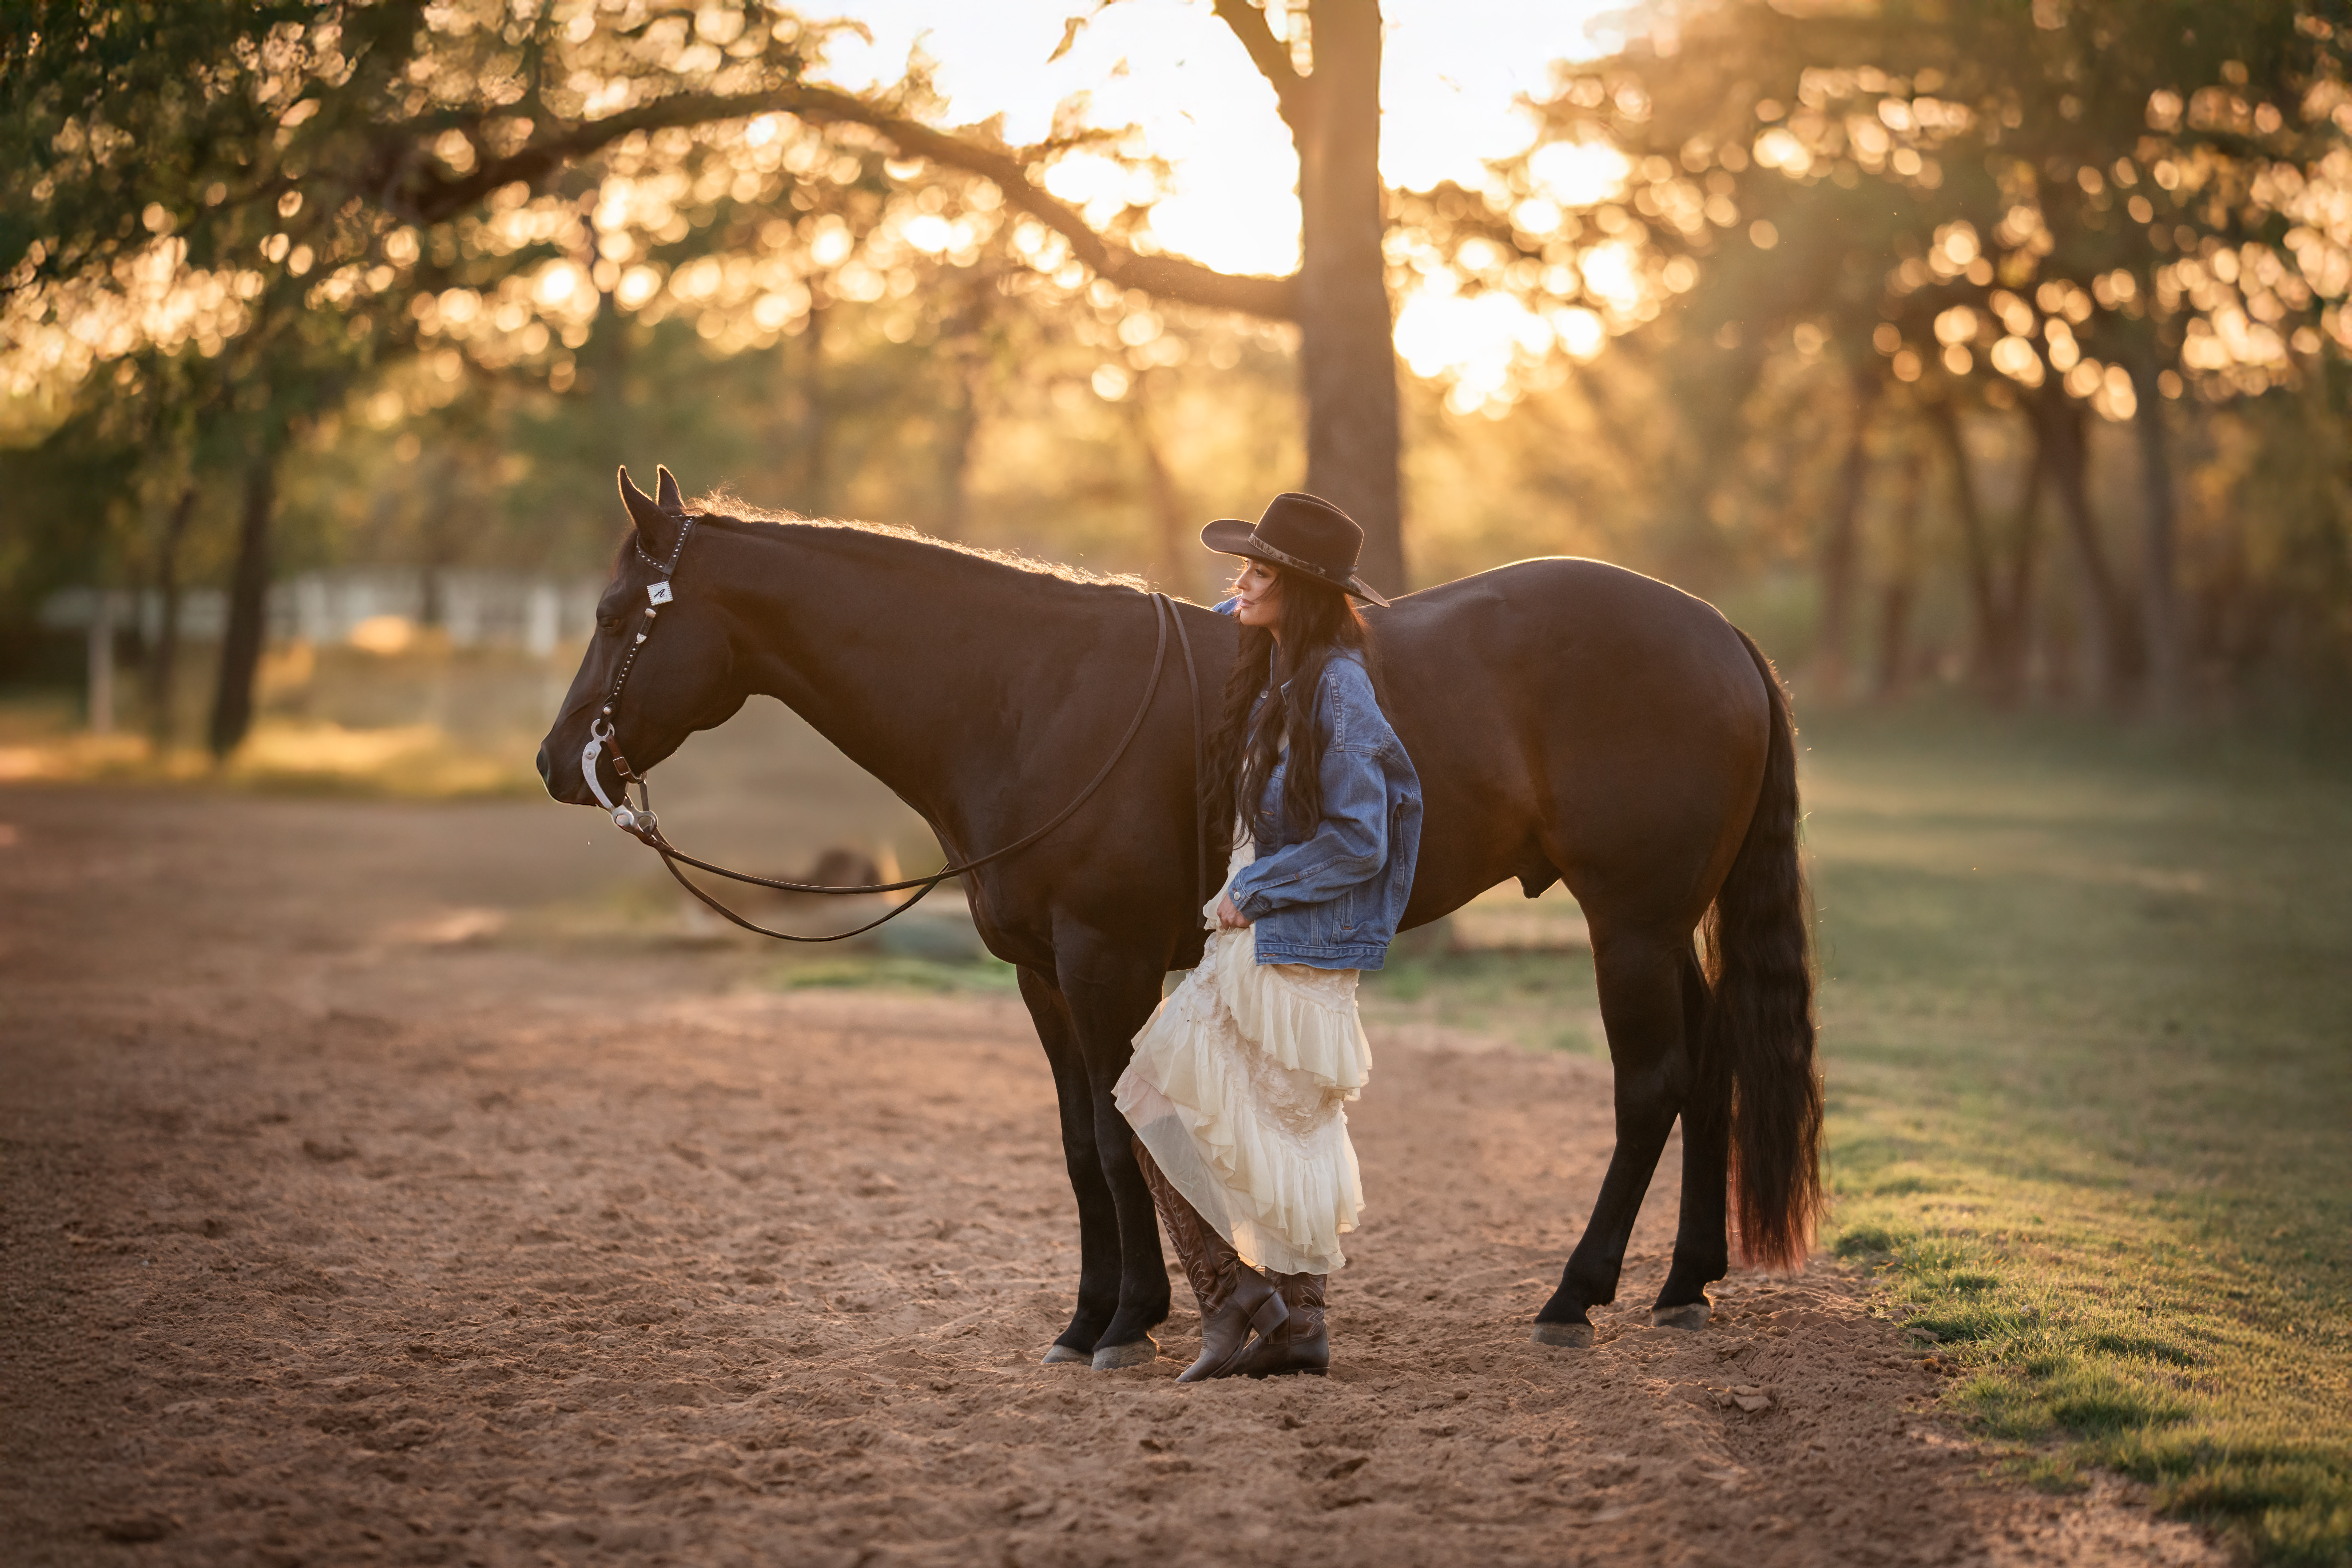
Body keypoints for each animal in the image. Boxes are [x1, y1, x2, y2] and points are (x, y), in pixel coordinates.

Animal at [537, 466, 1821, 1367]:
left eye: (615, 612)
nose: (556, 764)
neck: (1025, 693)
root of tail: (1721, 633)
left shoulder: (1103, 961)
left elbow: (1119, 1139)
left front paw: (1125, 1324)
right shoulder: (1042, 976)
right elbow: (1077, 1145)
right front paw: (1092, 1317)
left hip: (1631, 922)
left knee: (1652, 1084)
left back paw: (1575, 1296)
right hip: (1663, 925)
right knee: (1711, 1066)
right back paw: (1683, 1286)